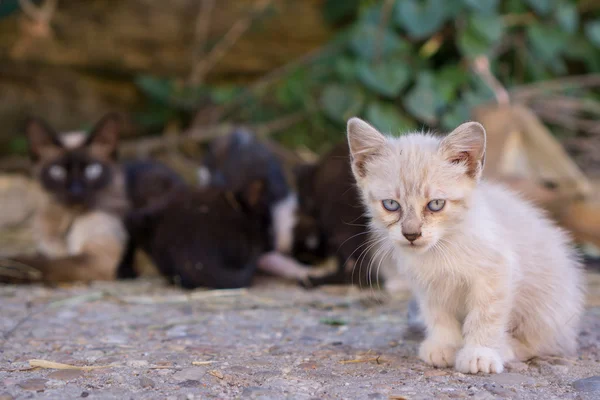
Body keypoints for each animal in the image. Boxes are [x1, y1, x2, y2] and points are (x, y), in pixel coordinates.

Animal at [350, 117, 584, 374]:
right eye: (391, 204)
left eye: (436, 204)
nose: (411, 234)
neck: (442, 247)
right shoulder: (429, 286)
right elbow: (438, 315)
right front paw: (444, 346)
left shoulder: (496, 273)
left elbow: (485, 316)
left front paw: (479, 354)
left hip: (547, 309)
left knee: (545, 342)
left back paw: (506, 347)